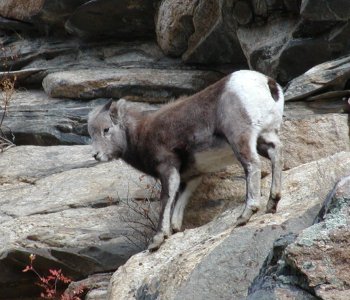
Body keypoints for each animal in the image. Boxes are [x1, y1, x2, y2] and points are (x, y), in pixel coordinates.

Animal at [87, 70, 284, 251]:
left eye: (106, 129)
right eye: (92, 133)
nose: (96, 155)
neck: (140, 134)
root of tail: (266, 82)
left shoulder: (168, 169)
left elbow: (166, 199)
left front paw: (158, 239)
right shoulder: (190, 178)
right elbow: (179, 205)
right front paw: (174, 231)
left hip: (240, 138)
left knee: (252, 165)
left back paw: (245, 215)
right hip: (264, 137)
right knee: (276, 153)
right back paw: (272, 203)